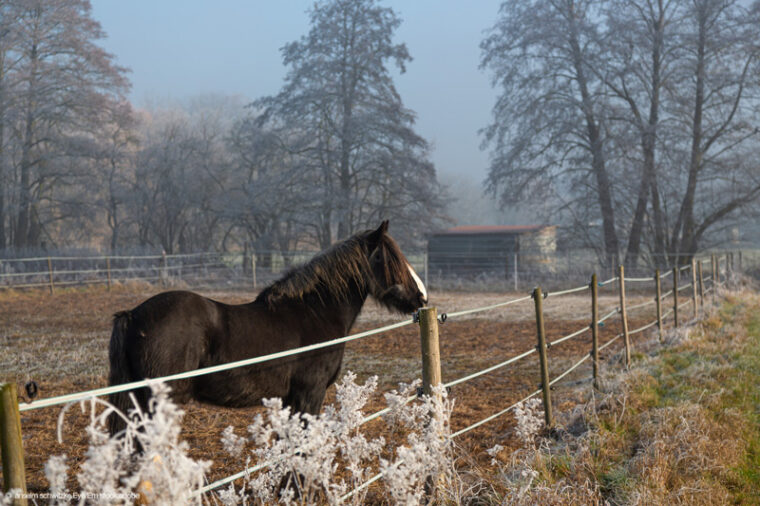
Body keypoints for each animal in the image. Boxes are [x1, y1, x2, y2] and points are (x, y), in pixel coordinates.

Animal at [107, 221, 428, 434]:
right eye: (388, 258)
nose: (422, 296)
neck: (314, 312)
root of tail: (132, 315)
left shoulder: (289, 400)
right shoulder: (309, 395)